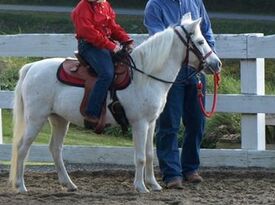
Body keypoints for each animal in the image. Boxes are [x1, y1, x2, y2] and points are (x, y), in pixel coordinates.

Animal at [9, 13, 223, 194]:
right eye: (200, 41)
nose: (217, 64)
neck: (145, 76)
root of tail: (32, 67)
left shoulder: (151, 123)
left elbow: (150, 154)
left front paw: (154, 185)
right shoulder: (139, 123)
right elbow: (140, 157)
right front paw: (141, 187)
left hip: (59, 119)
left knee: (55, 149)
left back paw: (69, 184)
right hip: (36, 118)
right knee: (21, 147)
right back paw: (21, 186)